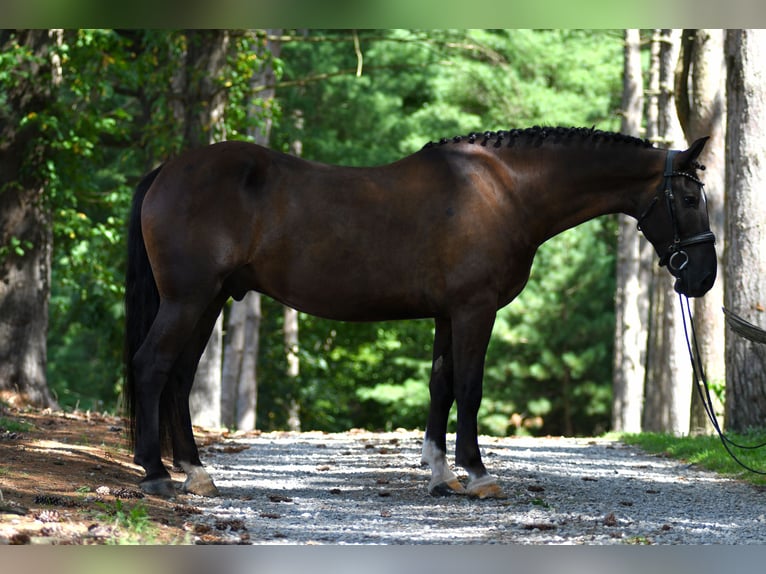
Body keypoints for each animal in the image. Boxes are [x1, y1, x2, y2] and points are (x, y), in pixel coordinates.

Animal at [124, 126, 720, 500]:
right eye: (692, 199)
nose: (702, 278)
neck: (506, 190)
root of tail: (168, 170)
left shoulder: (447, 315)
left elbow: (442, 386)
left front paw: (439, 475)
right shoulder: (475, 310)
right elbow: (470, 388)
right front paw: (478, 475)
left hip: (209, 301)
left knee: (178, 377)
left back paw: (196, 474)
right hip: (189, 300)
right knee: (152, 367)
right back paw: (155, 474)